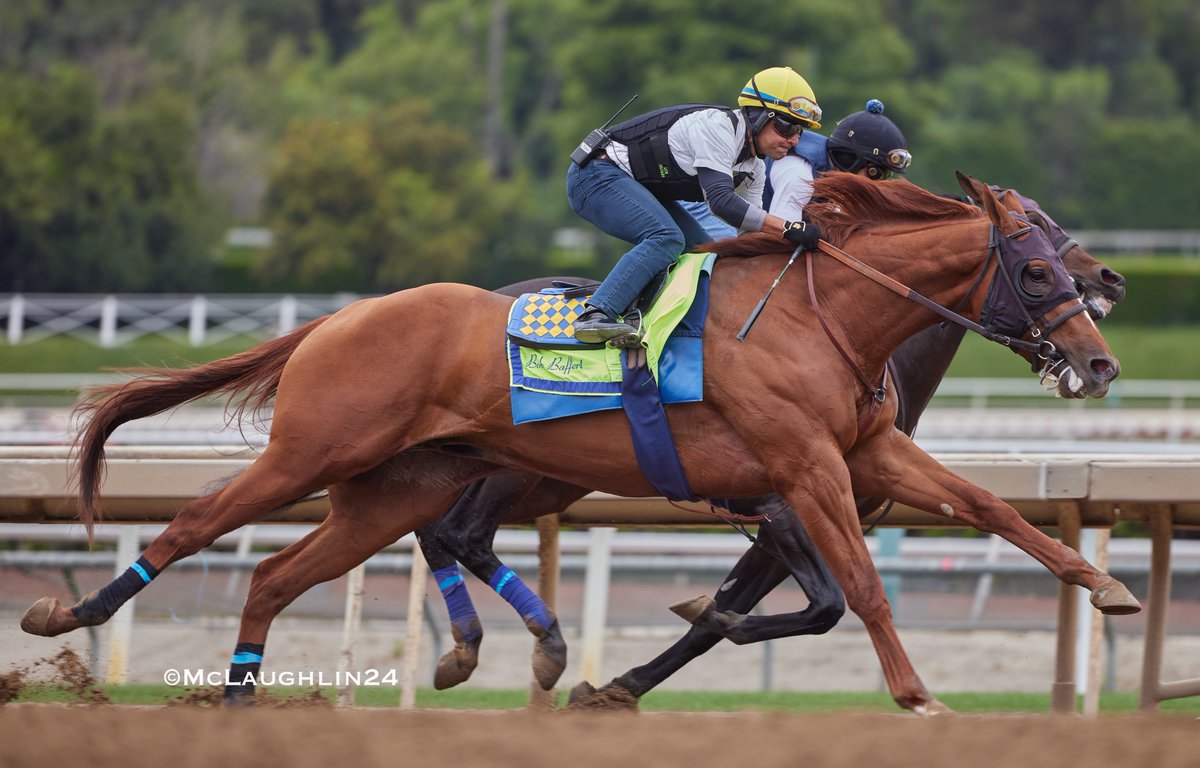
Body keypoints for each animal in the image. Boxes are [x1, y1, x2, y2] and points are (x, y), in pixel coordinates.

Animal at [23, 174, 1137, 715]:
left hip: (396, 487)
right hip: (314, 453)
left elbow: (989, 507)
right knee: (199, 523)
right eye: (1037, 269)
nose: (1099, 358)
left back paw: (246, 696)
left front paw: (1103, 582)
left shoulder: (862, 457)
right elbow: (853, 591)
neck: (821, 315)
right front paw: (915, 696)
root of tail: (341, 317)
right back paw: (67, 615)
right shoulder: (803, 472)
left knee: (281, 571)